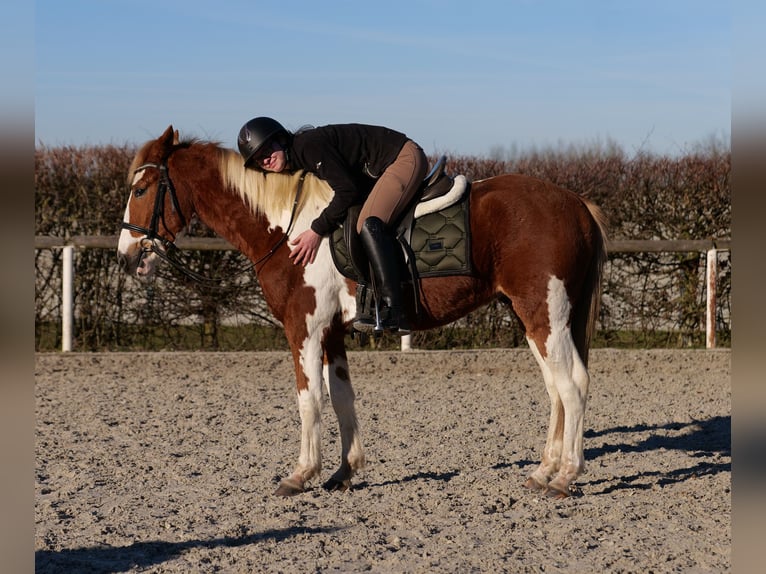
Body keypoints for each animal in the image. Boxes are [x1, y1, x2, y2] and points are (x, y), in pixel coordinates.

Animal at [117, 126, 608, 500]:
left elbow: (309, 400)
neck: (286, 226)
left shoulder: (304, 328)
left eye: (141, 190)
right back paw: (544, 471)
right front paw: (344, 471)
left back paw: (566, 476)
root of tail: (576, 203)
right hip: (532, 317)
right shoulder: (332, 332)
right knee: (557, 388)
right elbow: (341, 398)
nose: (126, 257)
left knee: (573, 385)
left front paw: (300, 474)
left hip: (544, 314)